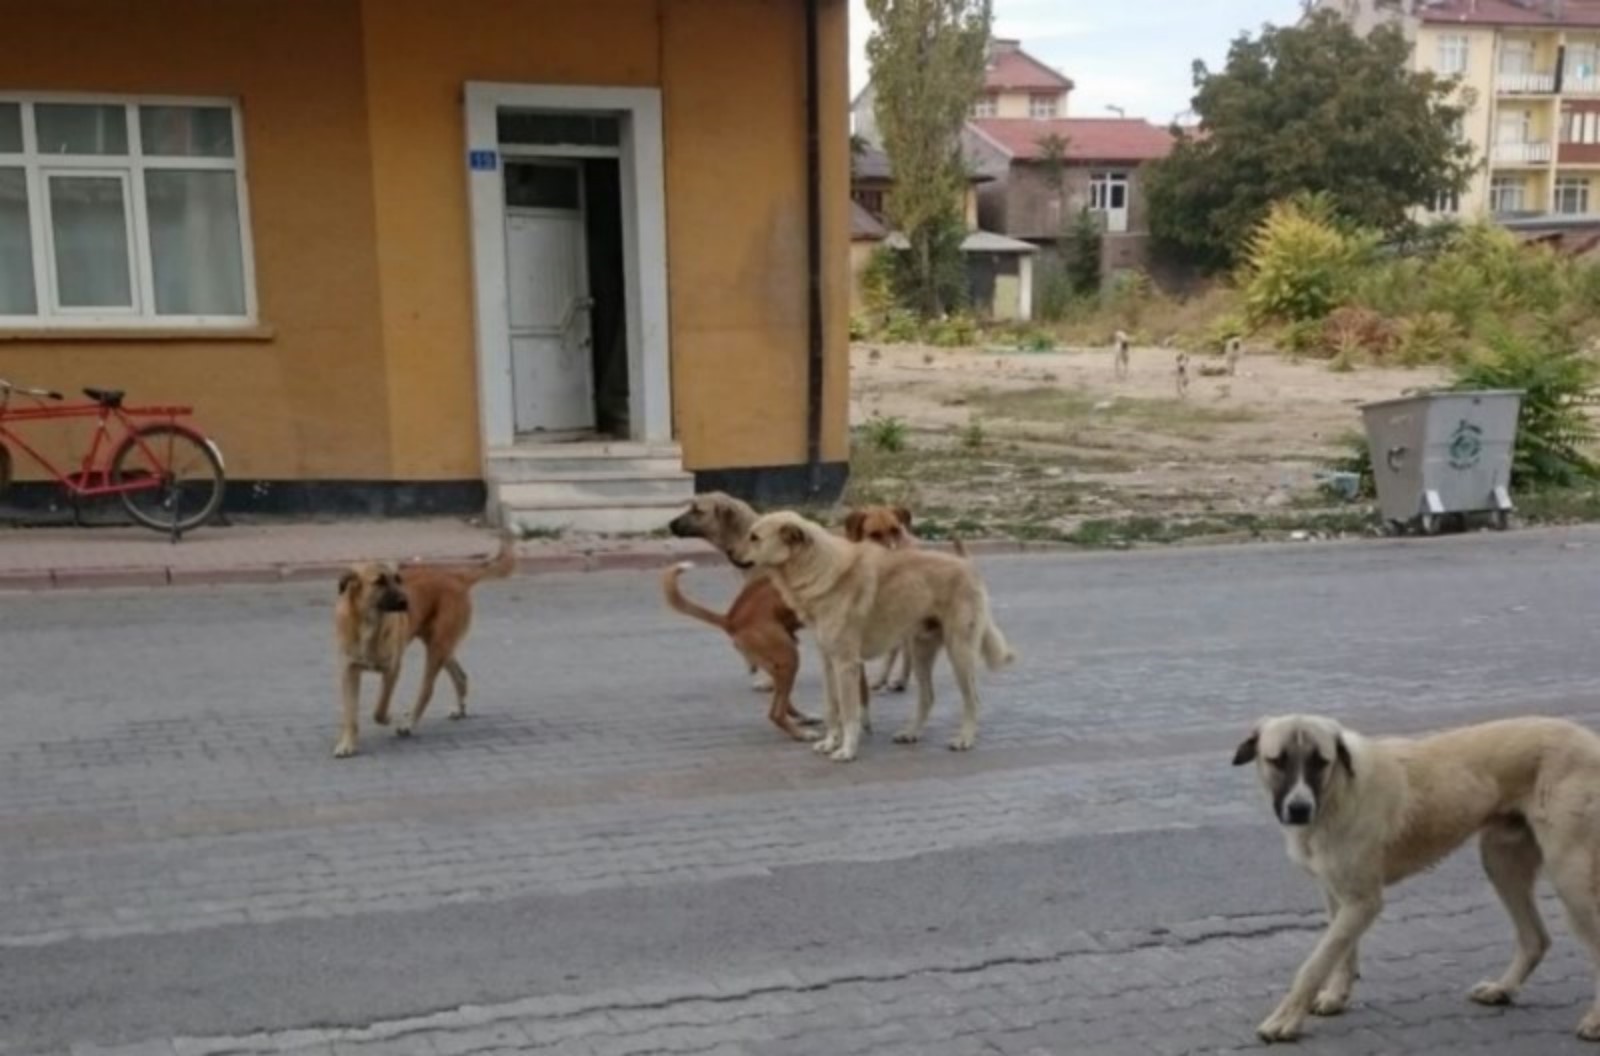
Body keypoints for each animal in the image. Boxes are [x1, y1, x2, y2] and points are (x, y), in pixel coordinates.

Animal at [334, 537, 515, 758]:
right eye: (379, 581)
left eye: (398, 579)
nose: (406, 602)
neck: (368, 625)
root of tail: (455, 576)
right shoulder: (349, 672)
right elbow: (350, 714)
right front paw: (347, 744)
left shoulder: (392, 669)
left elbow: (379, 708)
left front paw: (387, 718)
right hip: (442, 646)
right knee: (461, 676)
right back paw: (459, 709)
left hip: (437, 647)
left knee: (427, 689)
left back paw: (409, 723)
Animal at [736, 508, 1011, 758]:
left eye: (755, 537)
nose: (732, 555)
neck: (817, 567)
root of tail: (967, 565)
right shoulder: (829, 662)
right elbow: (831, 708)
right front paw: (830, 742)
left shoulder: (846, 664)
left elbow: (849, 712)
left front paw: (847, 750)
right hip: (921, 653)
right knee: (927, 697)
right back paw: (911, 732)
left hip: (959, 653)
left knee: (972, 699)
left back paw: (965, 739)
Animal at [1235, 713, 1600, 1043]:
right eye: (1277, 761)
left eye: (1320, 762)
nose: (1299, 809)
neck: (1338, 793)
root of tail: (1590, 739)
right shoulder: (1336, 894)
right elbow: (1342, 952)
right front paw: (1337, 996)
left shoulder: (1364, 902)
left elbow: (1315, 964)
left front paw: (1285, 1019)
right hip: (1501, 862)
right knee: (1535, 938)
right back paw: (1503, 989)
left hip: (1570, 875)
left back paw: (1594, 1021)